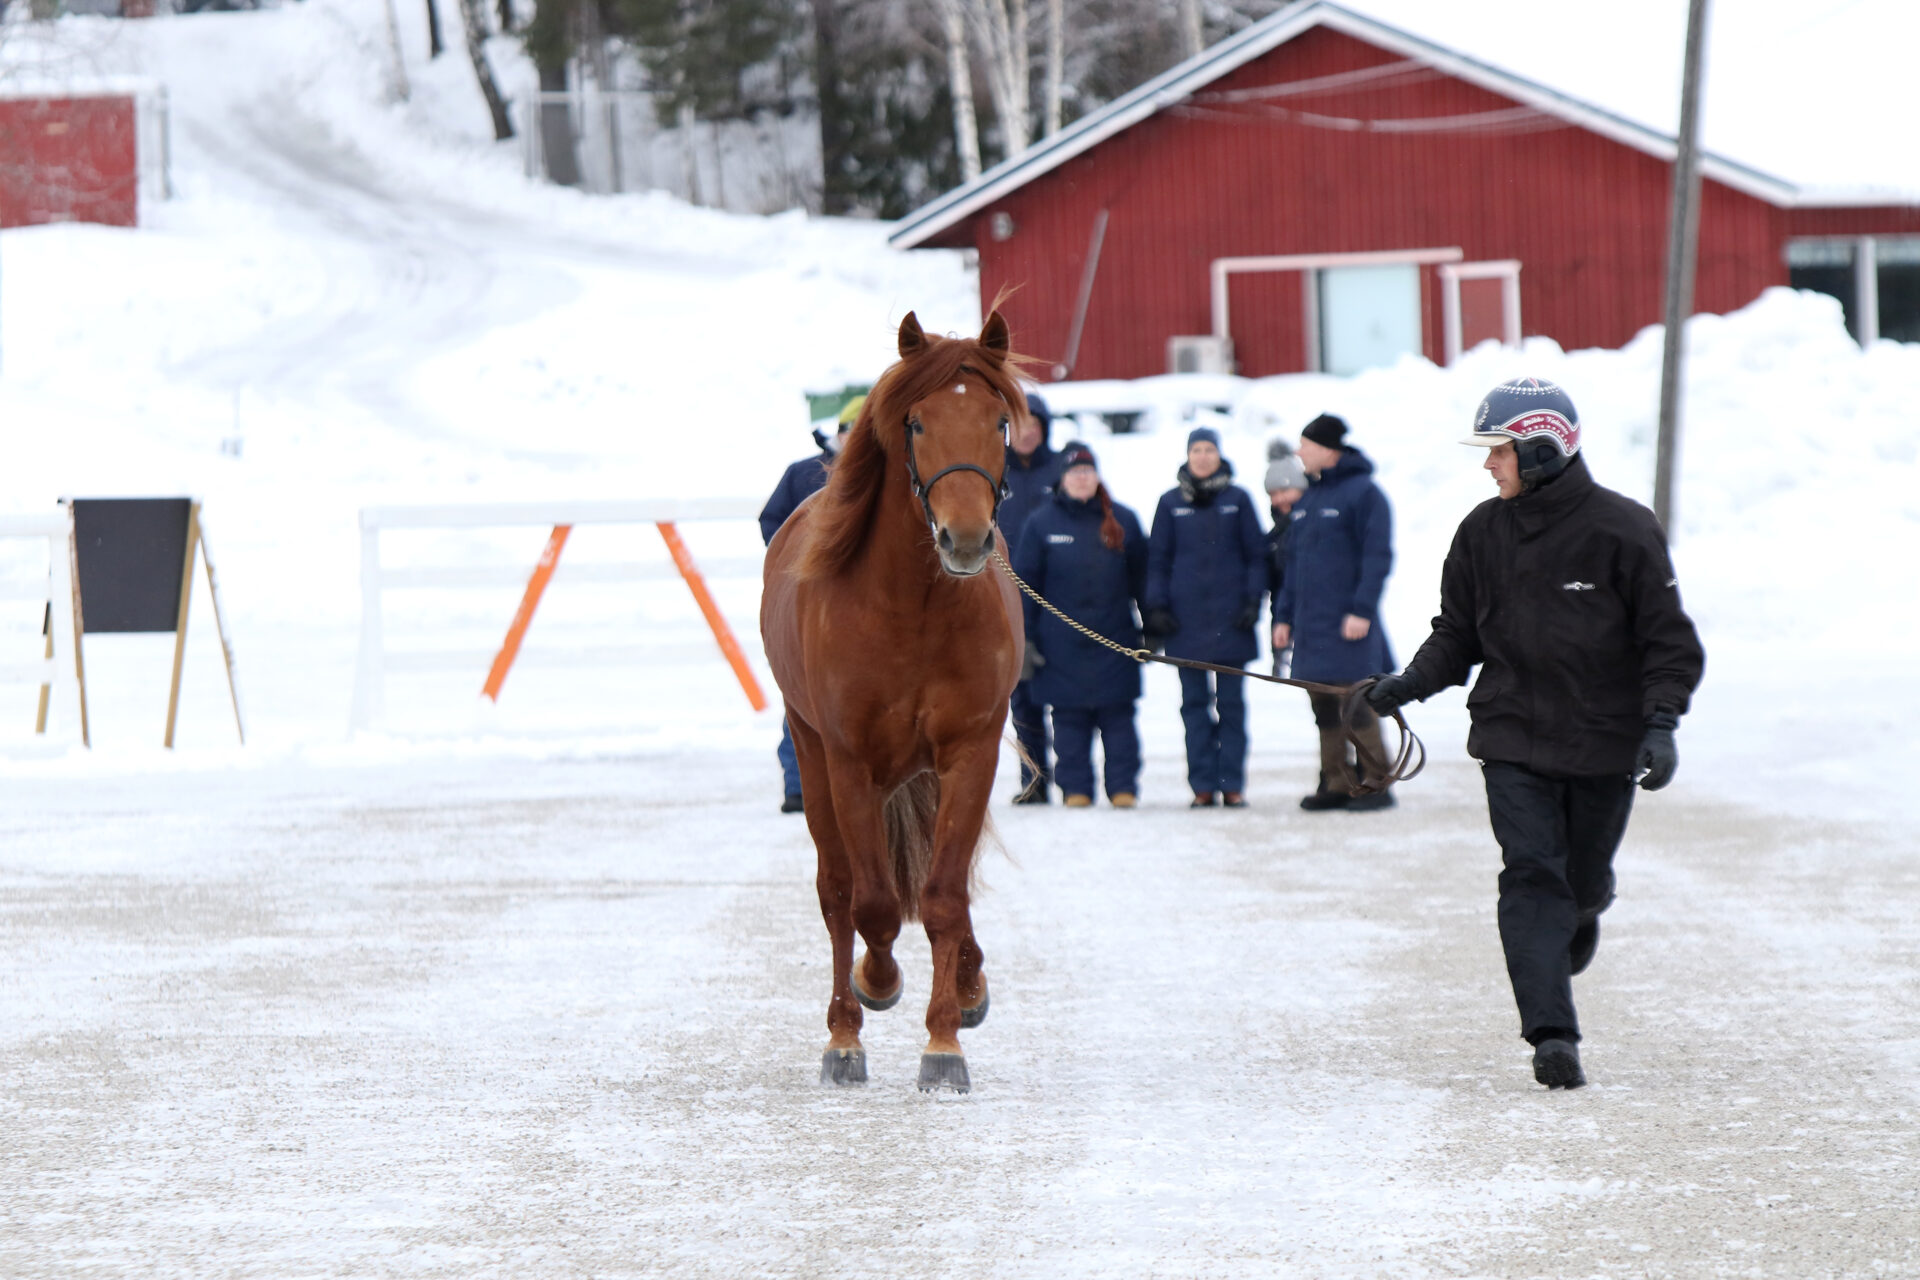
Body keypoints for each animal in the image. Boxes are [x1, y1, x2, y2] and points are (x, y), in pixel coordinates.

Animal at [764, 310, 1036, 1090]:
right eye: (916, 423)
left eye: (998, 422)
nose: (966, 538)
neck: (912, 607)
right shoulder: (850, 762)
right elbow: (876, 906)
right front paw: (875, 987)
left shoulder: (971, 752)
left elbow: (945, 895)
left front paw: (946, 1038)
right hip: (812, 754)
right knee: (837, 892)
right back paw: (843, 1034)